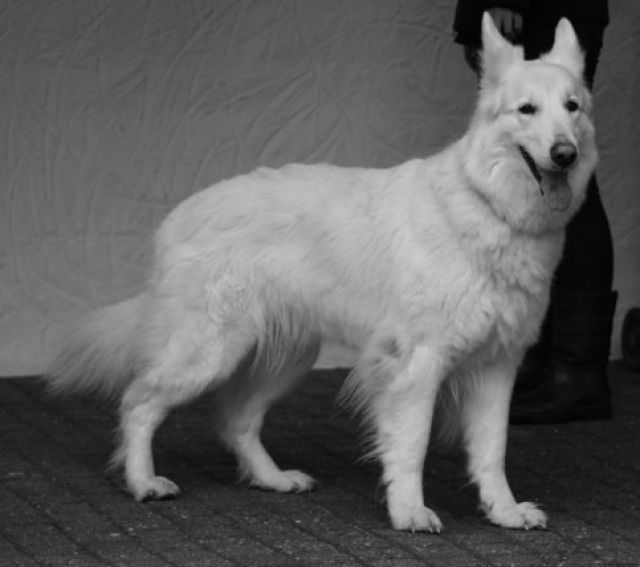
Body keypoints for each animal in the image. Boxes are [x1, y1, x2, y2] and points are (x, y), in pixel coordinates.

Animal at [47, 13, 597, 532]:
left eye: (572, 107)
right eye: (527, 110)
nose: (565, 154)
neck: (487, 205)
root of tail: (179, 215)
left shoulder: (499, 367)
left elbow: (492, 450)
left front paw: (504, 512)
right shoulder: (417, 365)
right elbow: (411, 445)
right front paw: (409, 512)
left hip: (287, 359)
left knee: (235, 421)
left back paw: (272, 479)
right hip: (207, 354)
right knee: (138, 403)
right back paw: (143, 482)